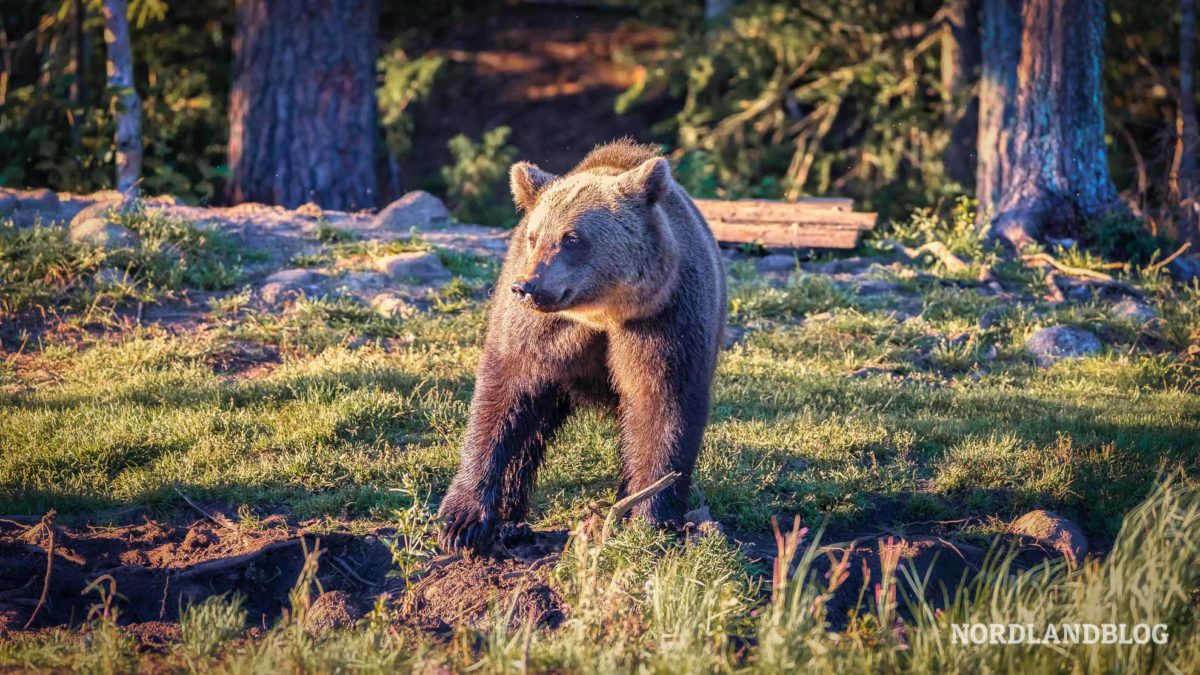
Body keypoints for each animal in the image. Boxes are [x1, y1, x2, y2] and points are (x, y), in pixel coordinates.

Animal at [439, 139, 724, 550]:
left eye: (572, 238)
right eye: (534, 237)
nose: (526, 286)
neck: (599, 316)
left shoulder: (663, 321)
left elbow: (662, 406)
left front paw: (650, 518)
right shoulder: (538, 332)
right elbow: (502, 399)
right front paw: (461, 521)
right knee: (531, 429)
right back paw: (511, 518)